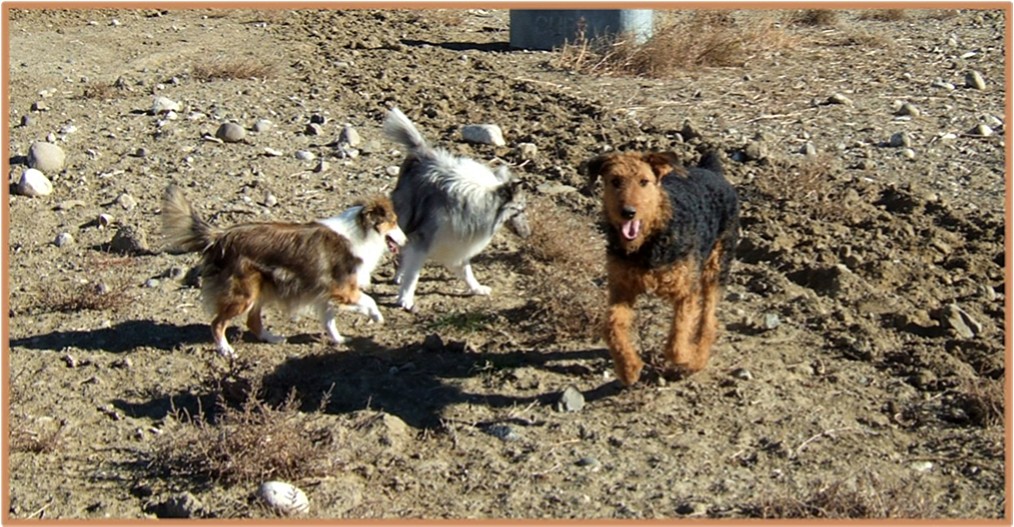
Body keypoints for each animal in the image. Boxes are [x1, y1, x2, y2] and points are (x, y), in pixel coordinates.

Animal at [160, 185, 405, 358]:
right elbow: (368, 300)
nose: (405, 240)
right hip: (244, 294)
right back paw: (226, 351)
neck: (362, 230)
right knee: (217, 324)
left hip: (259, 291)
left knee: (252, 322)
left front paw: (338, 340)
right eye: (393, 222)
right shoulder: (343, 289)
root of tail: (219, 236)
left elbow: (329, 320)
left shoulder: (325, 293)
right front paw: (376, 316)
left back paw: (272, 338)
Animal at [383, 108, 535, 310]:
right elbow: (414, 273)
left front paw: (477, 288)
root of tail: (422, 151)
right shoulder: (424, 238)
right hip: (406, 214)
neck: (485, 200)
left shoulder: (458, 240)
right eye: (521, 210)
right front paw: (405, 299)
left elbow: (466, 270)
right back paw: (399, 275)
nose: (528, 234)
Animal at [588, 149, 738, 385]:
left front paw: (685, 357)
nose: (628, 212)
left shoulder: (686, 290)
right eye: (615, 181)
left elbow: (679, 335)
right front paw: (628, 368)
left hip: (716, 267)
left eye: (644, 181)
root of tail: (712, 171)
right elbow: (611, 326)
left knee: (708, 321)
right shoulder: (621, 288)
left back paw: (697, 361)